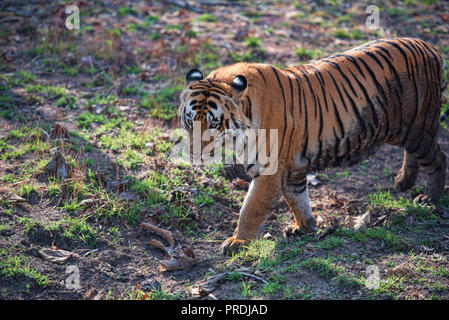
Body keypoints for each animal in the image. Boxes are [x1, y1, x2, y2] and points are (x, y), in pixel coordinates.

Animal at [177, 37, 446, 255]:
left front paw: (238, 241)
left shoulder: (270, 170)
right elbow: (298, 199)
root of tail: (429, 46)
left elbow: (251, 209)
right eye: (190, 121)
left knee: (438, 157)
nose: (194, 152)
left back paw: (429, 198)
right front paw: (305, 227)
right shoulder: (291, 169)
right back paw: (403, 182)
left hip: (417, 129)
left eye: (214, 124)